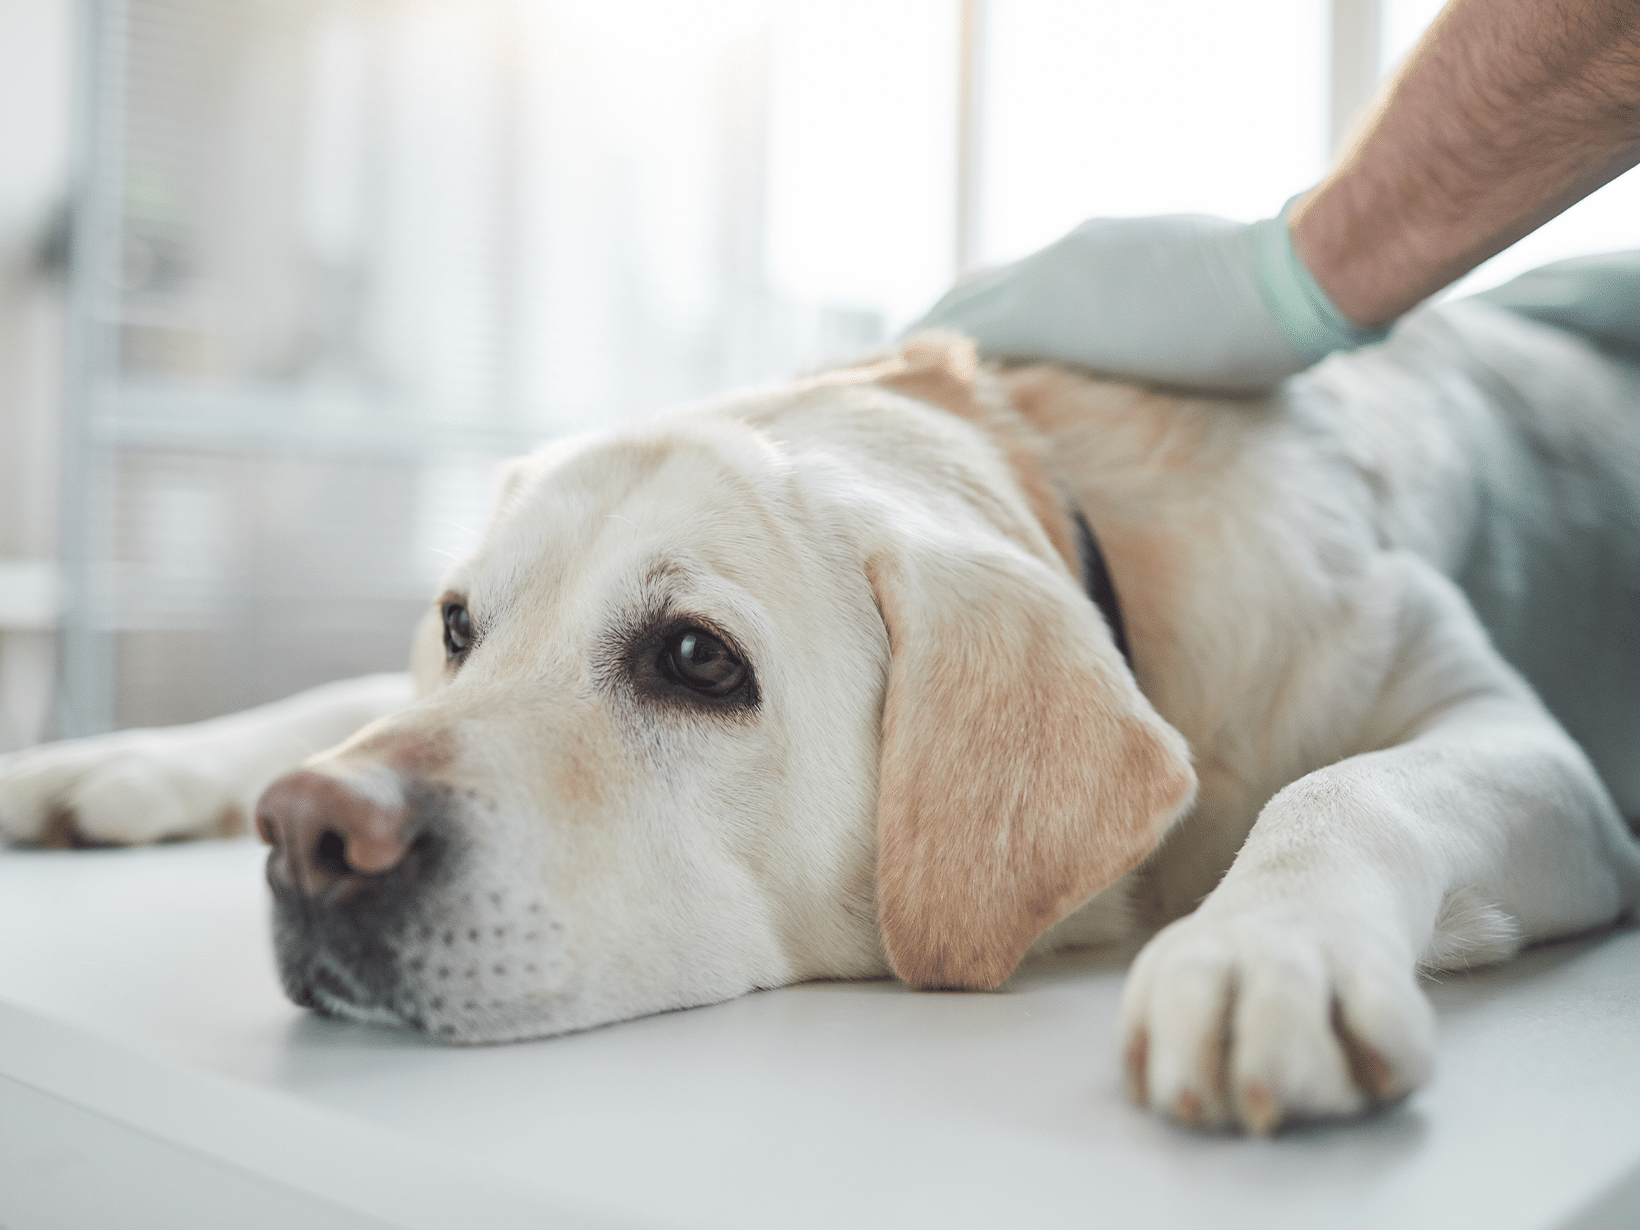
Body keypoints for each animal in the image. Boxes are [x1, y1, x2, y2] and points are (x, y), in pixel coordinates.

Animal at [3, 301, 1640, 1134]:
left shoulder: (1533, 754)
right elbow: (341, 689)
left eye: (694, 658)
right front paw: (112, 760)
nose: (307, 835)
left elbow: (1346, 785)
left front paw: (1264, 950)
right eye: (461, 625)